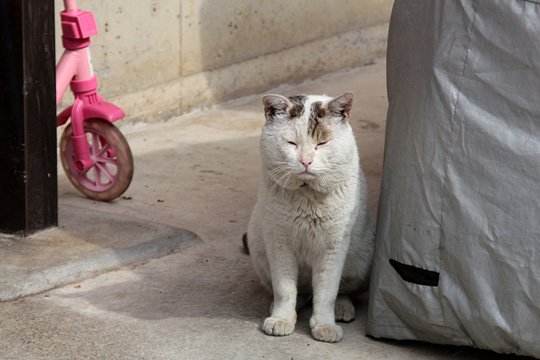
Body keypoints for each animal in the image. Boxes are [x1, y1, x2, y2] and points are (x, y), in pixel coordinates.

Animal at [246, 93, 376, 344]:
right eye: (291, 143)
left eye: (322, 143)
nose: (306, 161)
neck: (307, 195)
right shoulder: (279, 243)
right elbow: (285, 288)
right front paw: (282, 319)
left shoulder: (333, 247)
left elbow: (327, 291)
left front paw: (325, 325)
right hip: (258, 248)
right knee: (301, 292)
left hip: (362, 258)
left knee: (341, 290)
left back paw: (342, 309)